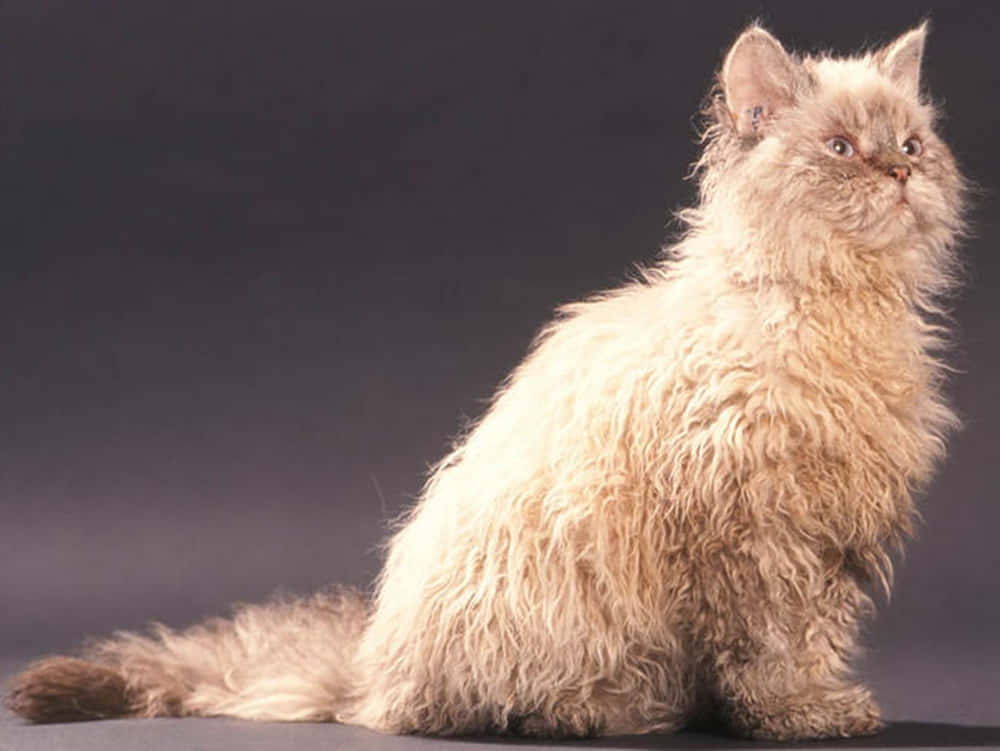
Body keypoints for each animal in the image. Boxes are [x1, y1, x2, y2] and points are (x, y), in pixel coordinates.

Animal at [3, 22, 964, 740]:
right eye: (840, 147)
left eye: (912, 144)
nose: (898, 172)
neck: (837, 313)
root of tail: (369, 671)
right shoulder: (752, 531)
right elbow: (772, 645)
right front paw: (800, 714)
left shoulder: (835, 534)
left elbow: (816, 634)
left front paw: (826, 701)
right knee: (481, 706)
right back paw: (598, 711)